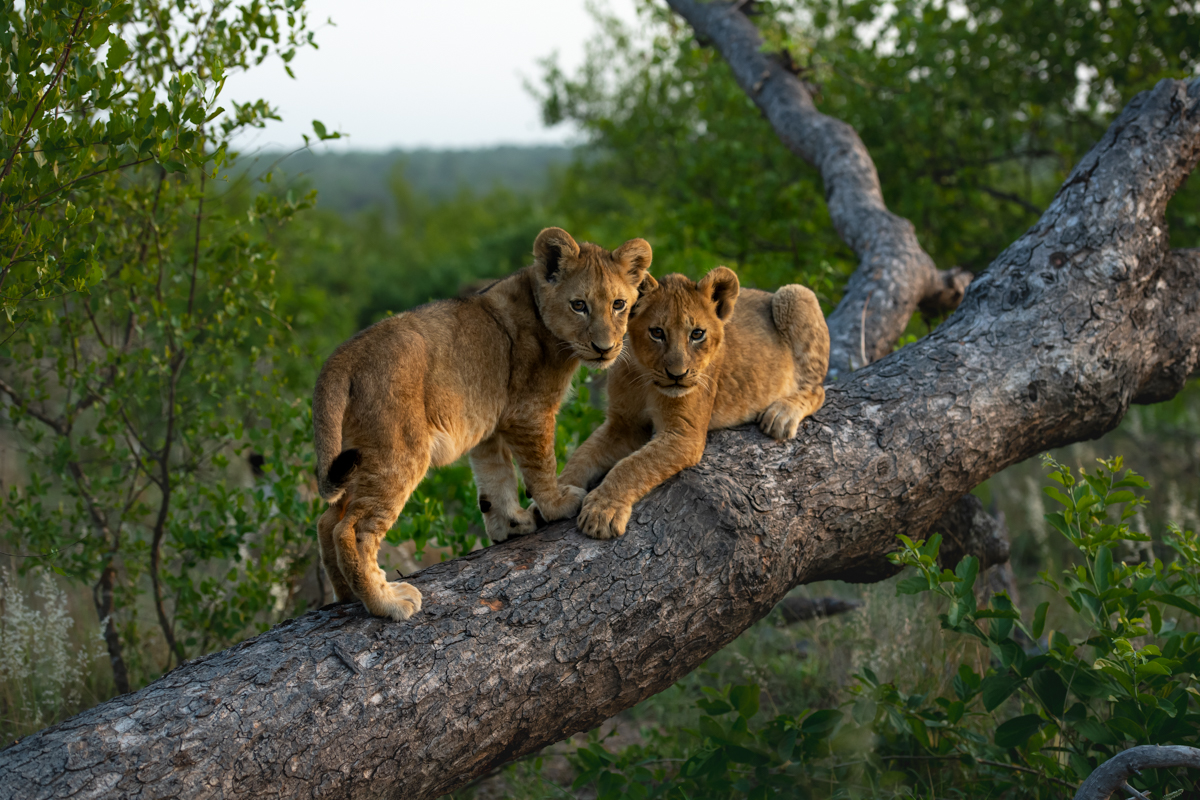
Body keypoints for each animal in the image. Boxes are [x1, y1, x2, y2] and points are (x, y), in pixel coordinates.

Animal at [313, 227, 652, 619]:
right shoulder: (530, 411)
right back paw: (386, 602)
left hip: (357, 455)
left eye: (619, 304)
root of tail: (344, 355)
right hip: (398, 452)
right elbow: (540, 466)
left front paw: (512, 523)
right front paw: (555, 506)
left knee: (326, 521)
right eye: (579, 305)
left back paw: (347, 596)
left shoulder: (489, 422)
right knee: (351, 530)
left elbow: (495, 478)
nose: (605, 348)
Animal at [558, 266, 828, 540]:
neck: (645, 377)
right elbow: (584, 454)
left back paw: (782, 414)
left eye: (697, 334)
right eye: (657, 332)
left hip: (795, 294)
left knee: (817, 389)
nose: (677, 375)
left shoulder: (684, 434)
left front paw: (603, 510)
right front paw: (556, 497)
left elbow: (633, 466)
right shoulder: (623, 424)